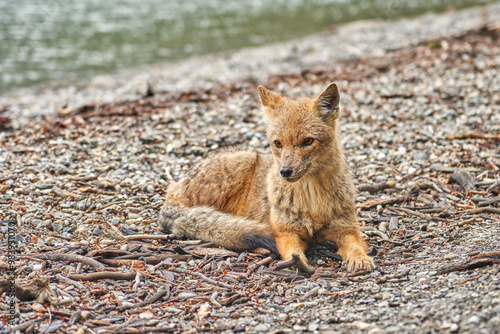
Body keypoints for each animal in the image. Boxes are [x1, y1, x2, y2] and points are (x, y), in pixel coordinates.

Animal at [158, 82, 374, 272]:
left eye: (307, 141)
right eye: (278, 143)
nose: (285, 171)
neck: (311, 199)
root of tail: (173, 190)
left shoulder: (348, 229)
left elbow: (356, 246)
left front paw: (360, 259)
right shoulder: (285, 232)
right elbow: (292, 252)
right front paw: (296, 263)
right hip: (243, 161)